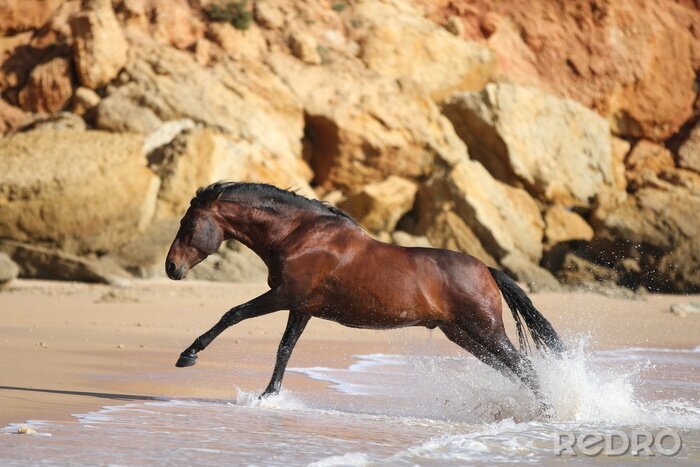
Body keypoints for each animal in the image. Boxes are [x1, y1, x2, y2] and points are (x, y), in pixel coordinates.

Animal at [165, 181, 565, 413]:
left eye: (188, 224)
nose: (171, 268)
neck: (300, 235)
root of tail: (487, 269)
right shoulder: (301, 307)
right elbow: (285, 349)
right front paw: (269, 396)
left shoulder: (282, 296)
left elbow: (232, 313)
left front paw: (188, 355)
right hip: (464, 335)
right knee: (512, 369)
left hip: (485, 330)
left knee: (523, 366)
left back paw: (548, 411)